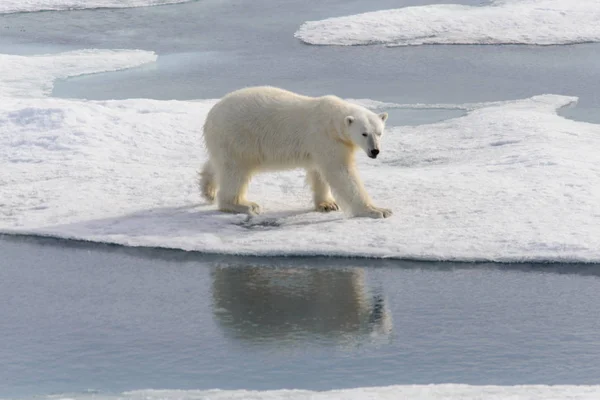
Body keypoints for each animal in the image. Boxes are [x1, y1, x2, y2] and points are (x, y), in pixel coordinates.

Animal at [199, 85, 392, 219]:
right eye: (364, 133)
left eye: (379, 132)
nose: (375, 151)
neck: (332, 121)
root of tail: (211, 115)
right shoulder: (326, 139)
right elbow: (341, 173)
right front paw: (378, 210)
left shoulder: (320, 146)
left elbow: (318, 172)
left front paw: (327, 204)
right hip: (237, 137)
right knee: (235, 171)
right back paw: (244, 205)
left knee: (218, 163)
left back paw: (208, 189)